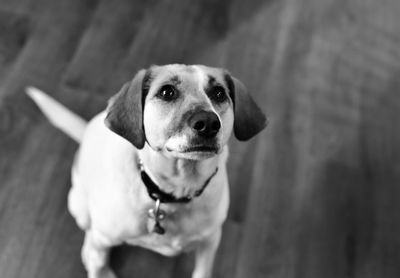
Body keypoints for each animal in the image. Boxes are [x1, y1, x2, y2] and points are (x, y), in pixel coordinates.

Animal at [26, 64, 268, 278]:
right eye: (167, 92)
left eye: (219, 93)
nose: (208, 123)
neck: (173, 192)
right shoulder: (103, 236)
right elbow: (98, 260)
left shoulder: (210, 241)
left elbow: (202, 271)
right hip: (80, 208)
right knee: (89, 234)